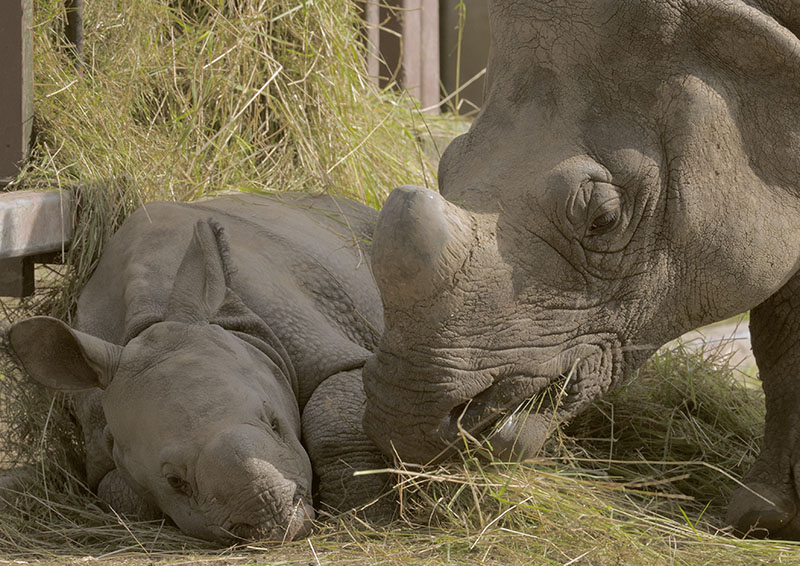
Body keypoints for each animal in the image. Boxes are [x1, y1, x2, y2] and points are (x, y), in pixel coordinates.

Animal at [6, 192, 390, 544]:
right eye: (175, 482)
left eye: (275, 424)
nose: (273, 520)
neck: (152, 321)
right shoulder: (100, 450)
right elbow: (124, 496)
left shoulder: (308, 340)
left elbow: (334, 406)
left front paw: (361, 510)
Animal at [361, 0, 800, 539]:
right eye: (446, 167)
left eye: (603, 220)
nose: (403, 422)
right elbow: (781, 337)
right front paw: (767, 515)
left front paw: (767, 518)